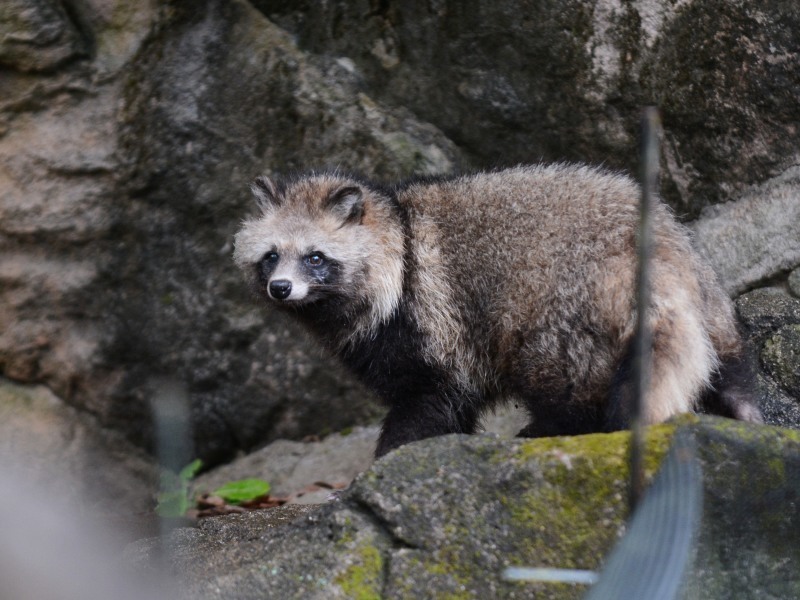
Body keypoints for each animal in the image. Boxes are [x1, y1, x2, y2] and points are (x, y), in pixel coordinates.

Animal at [233, 164, 764, 454]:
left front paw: (389, 457)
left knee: (565, 387)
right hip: (706, 293)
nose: (281, 288)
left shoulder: (431, 327)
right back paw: (741, 403)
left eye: (315, 258)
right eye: (271, 256)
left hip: (564, 315)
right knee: (728, 363)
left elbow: (431, 404)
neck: (397, 233)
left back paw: (550, 426)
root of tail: (655, 260)